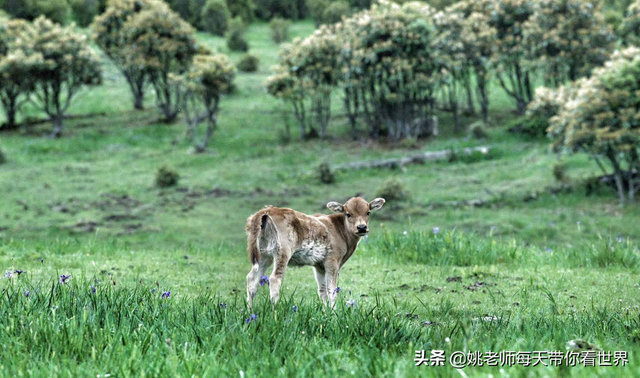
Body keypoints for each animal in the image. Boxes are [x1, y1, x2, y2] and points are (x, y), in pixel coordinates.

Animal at [245, 198, 384, 308]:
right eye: (348, 214)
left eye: (368, 212)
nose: (361, 228)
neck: (339, 231)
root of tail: (267, 211)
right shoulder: (332, 262)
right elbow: (332, 291)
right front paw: (334, 314)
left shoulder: (319, 266)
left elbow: (322, 291)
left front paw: (325, 312)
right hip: (282, 252)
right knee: (274, 279)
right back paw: (275, 312)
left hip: (264, 256)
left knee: (252, 279)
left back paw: (250, 311)